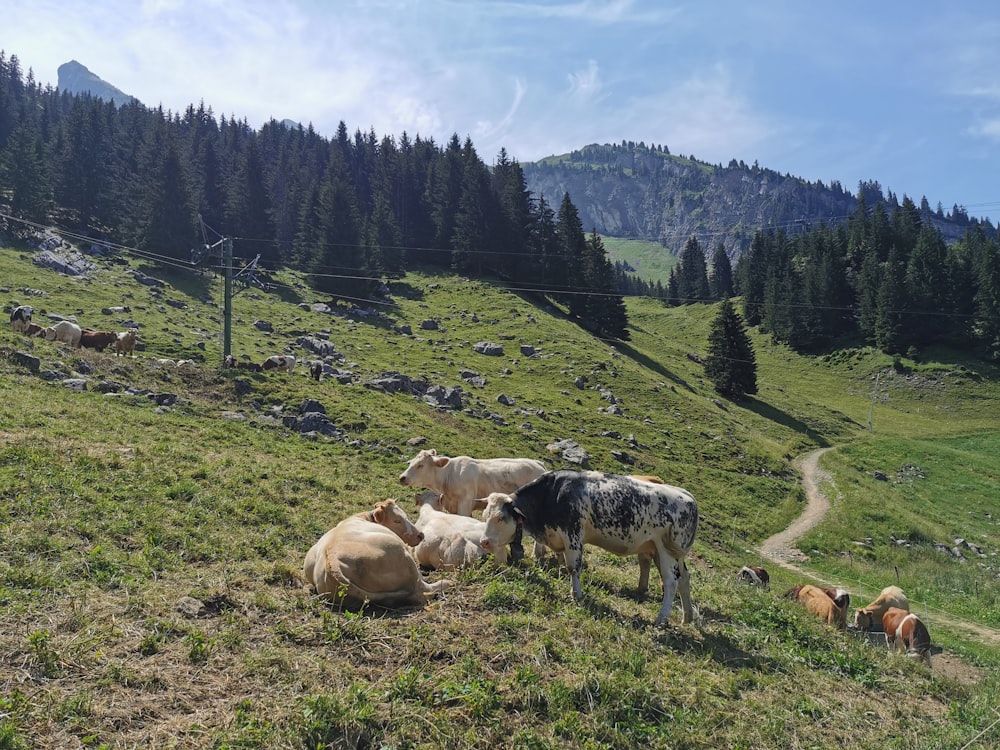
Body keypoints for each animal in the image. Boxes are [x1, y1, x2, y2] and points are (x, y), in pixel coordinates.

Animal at [298, 500, 452, 612]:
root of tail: (333, 562)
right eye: (397, 520)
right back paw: (447, 583)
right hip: (401, 553)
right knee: (422, 588)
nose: (421, 535)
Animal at [480, 470, 700, 628]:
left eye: (501, 517)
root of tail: (687, 496)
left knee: (671, 582)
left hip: (666, 551)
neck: (552, 494)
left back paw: (661, 619)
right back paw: (687, 616)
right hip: (669, 552)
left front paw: (575, 594)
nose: (484, 541)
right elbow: (562, 561)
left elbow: (573, 568)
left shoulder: (573, 535)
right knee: (684, 579)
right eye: (484, 515)